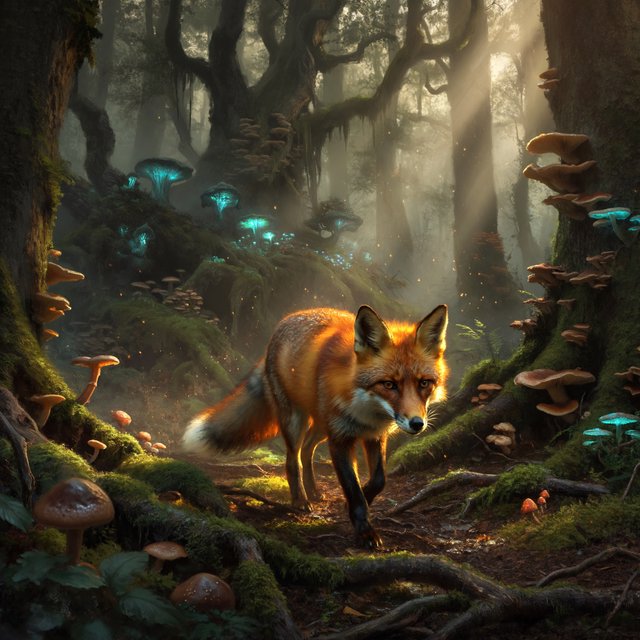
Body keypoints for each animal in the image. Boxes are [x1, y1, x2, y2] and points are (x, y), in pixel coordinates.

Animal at [183, 304, 448, 548]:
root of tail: (286, 321)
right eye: (389, 384)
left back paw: (313, 490)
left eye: (424, 383)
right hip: (296, 421)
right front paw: (364, 530)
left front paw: (355, 504)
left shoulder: (374, 436)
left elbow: (378, 481)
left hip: (321, 426)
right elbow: (353, 489)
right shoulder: (340, 439)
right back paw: (300, 500)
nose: (417, 424)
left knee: (307, 449)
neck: (365, 410)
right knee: (293, 460)